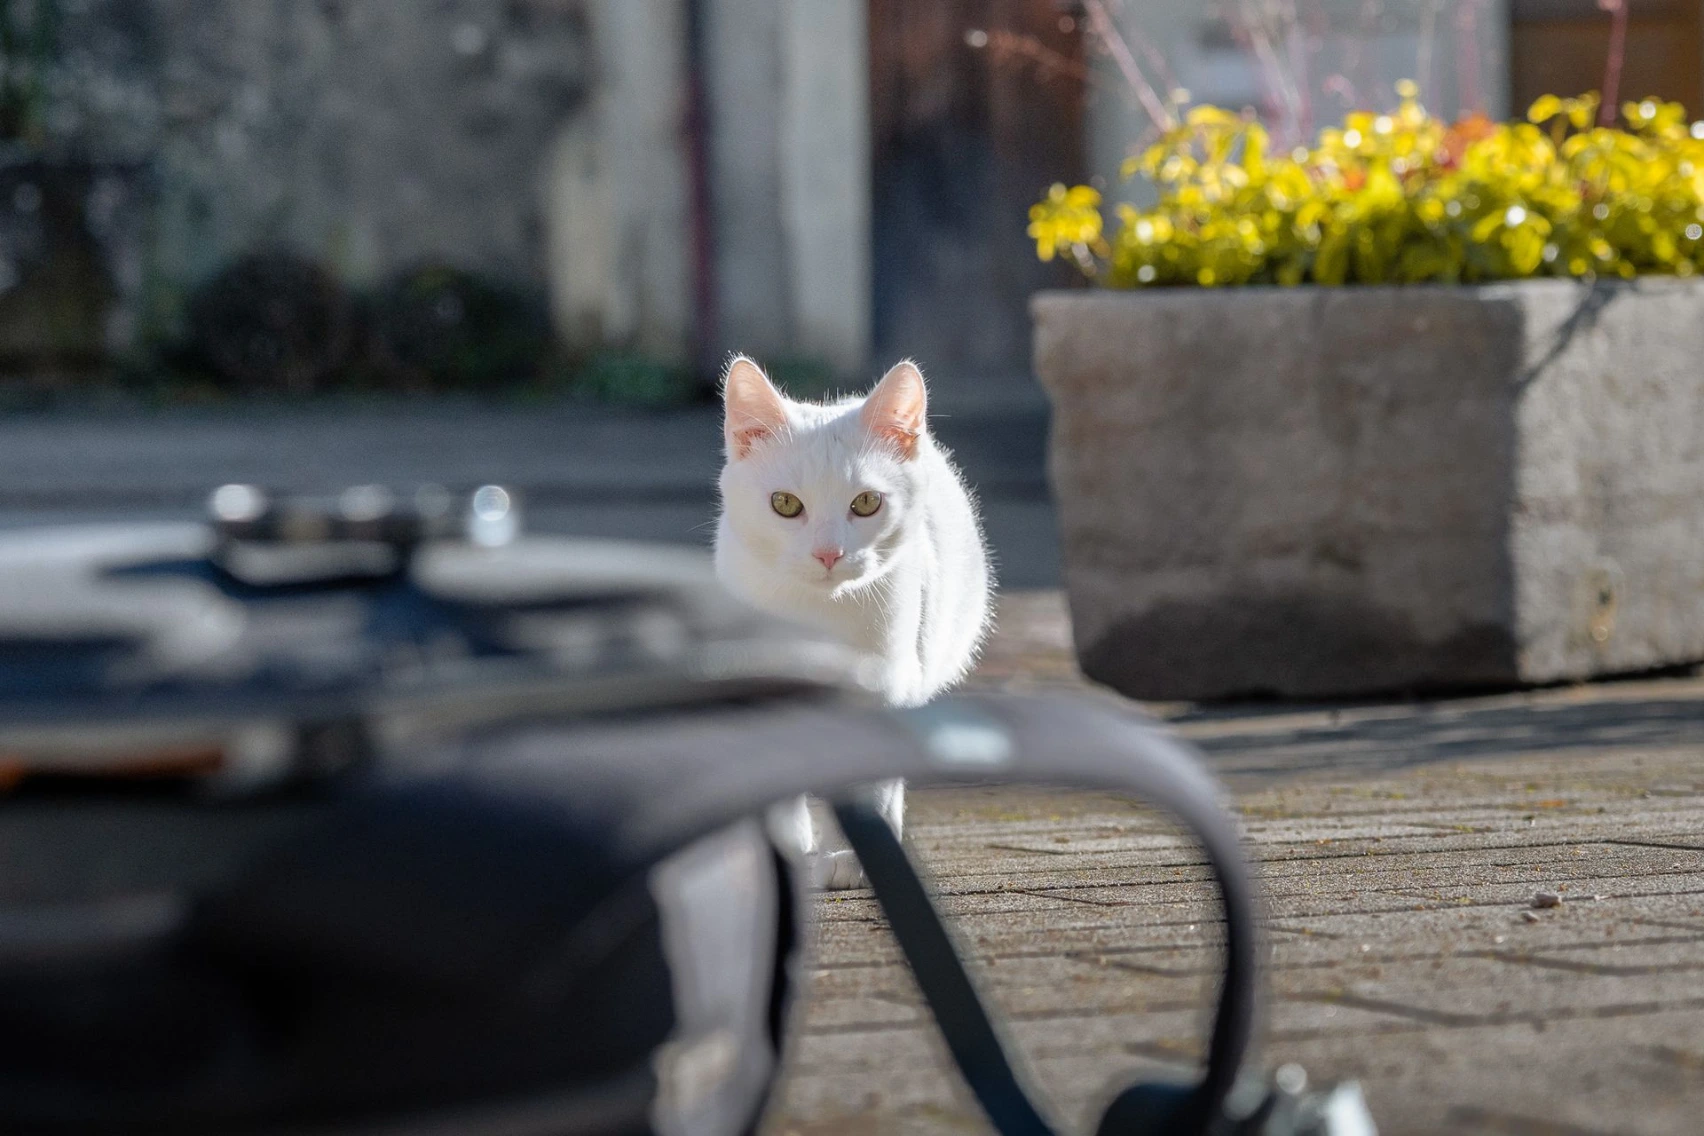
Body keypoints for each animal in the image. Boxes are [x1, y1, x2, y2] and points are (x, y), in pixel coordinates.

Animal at [714, 355, 994, 889]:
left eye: (866, 503)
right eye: (785, 503)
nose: (829, 553)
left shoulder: (882, 685)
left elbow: (871, 780)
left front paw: (854, 857)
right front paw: (790, 849)